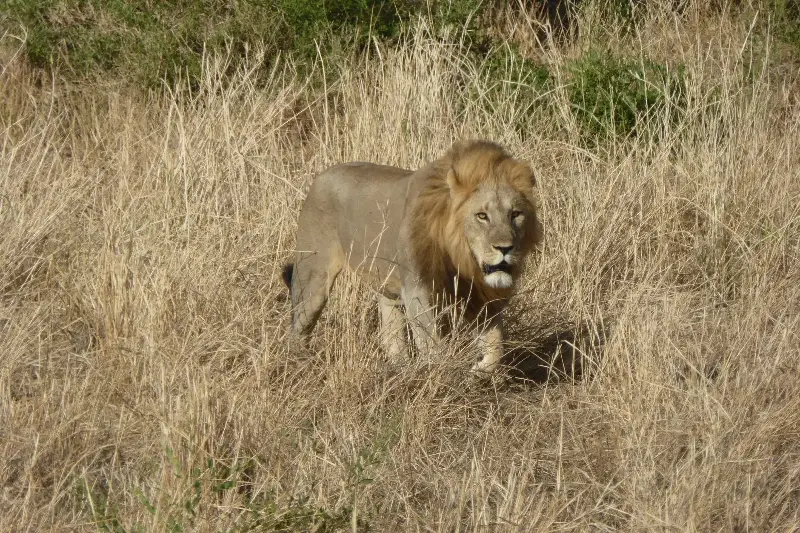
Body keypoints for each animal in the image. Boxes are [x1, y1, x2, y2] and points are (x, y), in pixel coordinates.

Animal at [282, 140, 543, 372]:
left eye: (515, 214)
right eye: (482, 216)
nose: (505, 248)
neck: (461, 256)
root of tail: (322, 175)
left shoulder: (481, 294)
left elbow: (496, 343)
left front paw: (480, 370)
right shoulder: (418, 290)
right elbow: (433, 345)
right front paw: (442, 375)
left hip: (387, 286)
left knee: (391, 335)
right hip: (313, 278)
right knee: (298, 328)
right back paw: (299, 364)